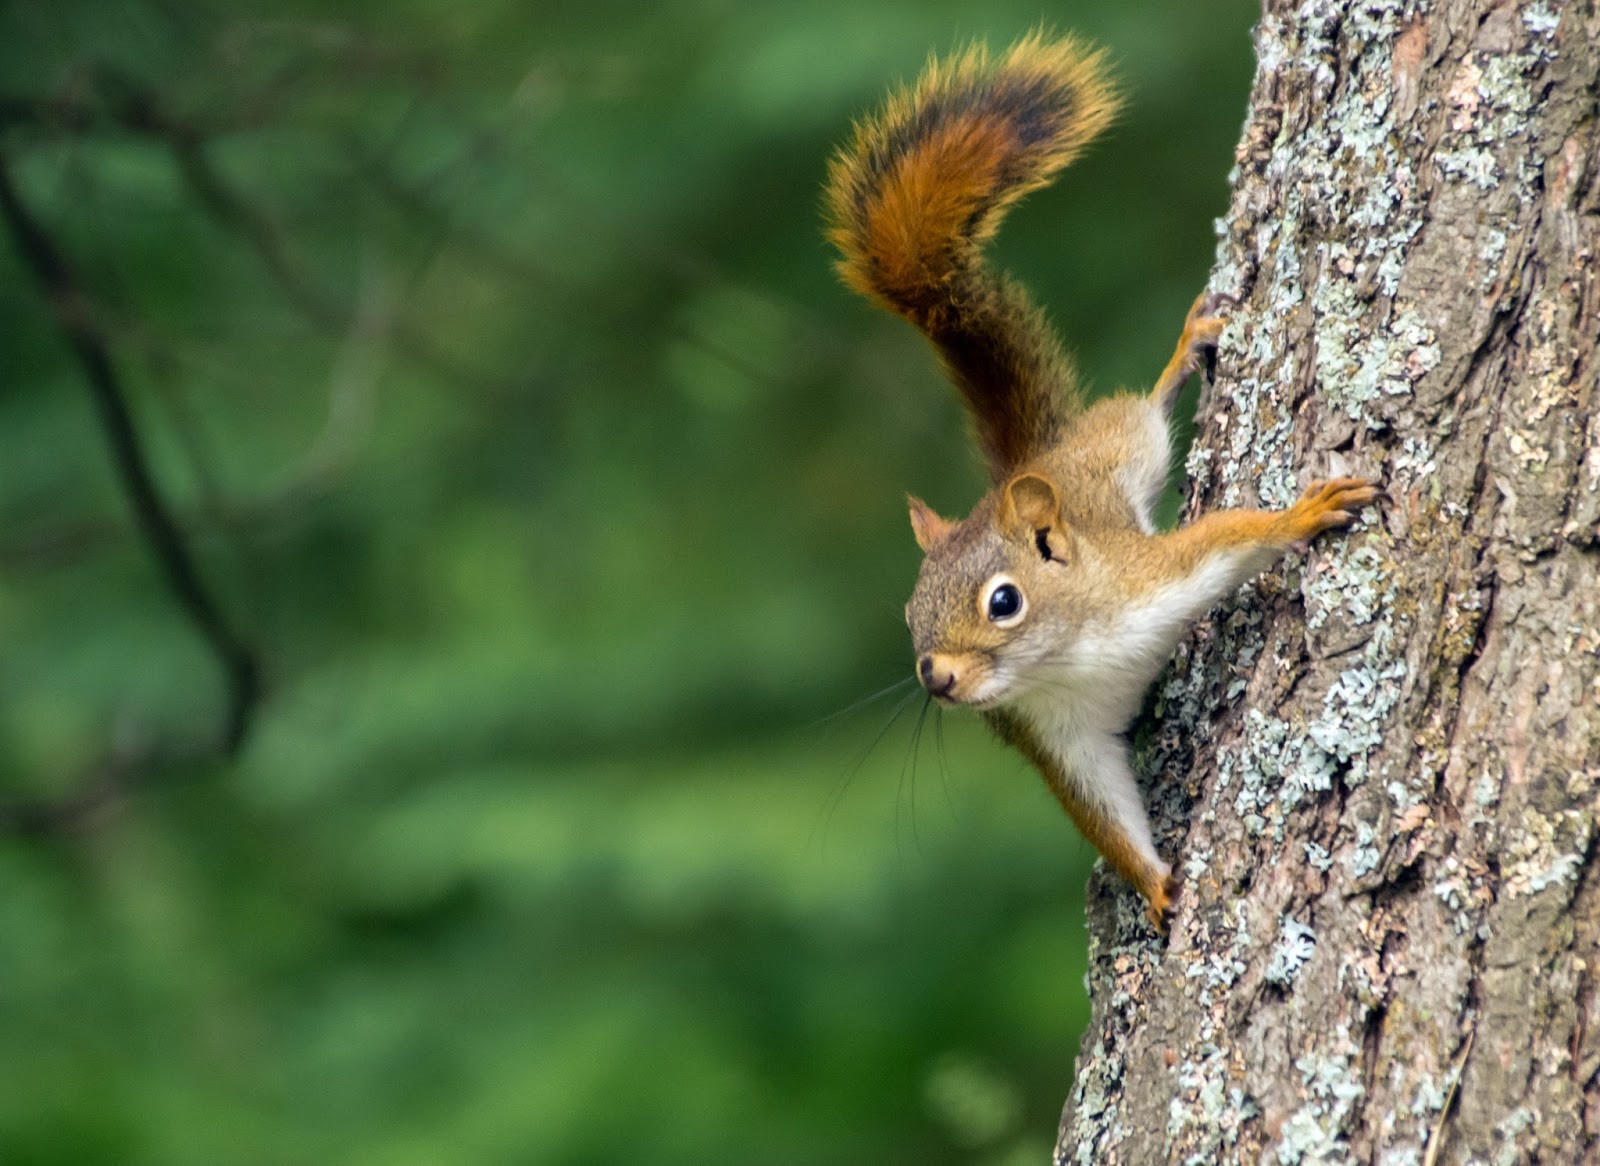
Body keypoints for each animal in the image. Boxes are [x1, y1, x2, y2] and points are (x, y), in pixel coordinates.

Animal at [824, 33, 1378, 930]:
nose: (935, 677)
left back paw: (1185, 351)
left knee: (1143, 410)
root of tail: (1030, 464)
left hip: (1116, 447)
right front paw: (1156, 886)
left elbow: (1228, 538)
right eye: (908, 616)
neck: (1066, 656)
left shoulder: (1146, 578)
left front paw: (1301, 514)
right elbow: (1102, 809)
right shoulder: (1055, 735)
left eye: (1004, 601)